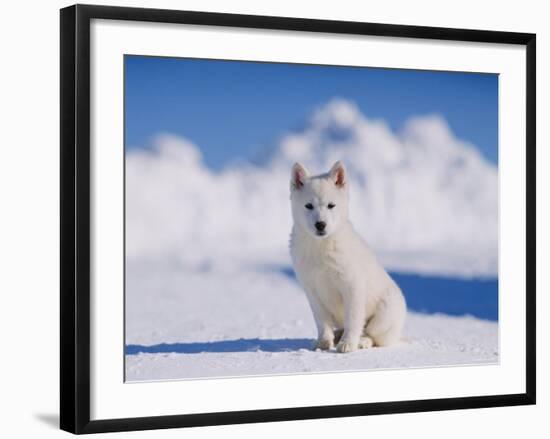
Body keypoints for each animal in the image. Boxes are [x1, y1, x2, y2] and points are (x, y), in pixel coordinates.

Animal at [292, 162, 408, 354]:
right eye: (308, 206)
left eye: (331, 205)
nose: (320, 225)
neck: (322, 246)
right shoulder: (312, 291)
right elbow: (322, 321)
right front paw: (323, 342)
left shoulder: (352, 287)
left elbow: (353, 319)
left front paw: (348, 344)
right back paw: (337, 335)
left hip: (383, 315)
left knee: (373, 335)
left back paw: (362, 341)